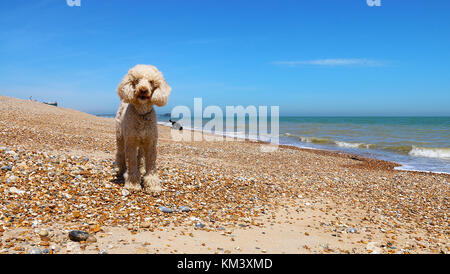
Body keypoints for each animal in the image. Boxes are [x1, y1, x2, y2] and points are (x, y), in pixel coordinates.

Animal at [115, 64, 171, 194]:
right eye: (137, 80)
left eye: (151, 81)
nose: (143, 90)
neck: (142, 113)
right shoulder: (130, 142)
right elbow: (131, 161)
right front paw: (132, 183)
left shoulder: (150, 143)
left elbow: (151, 165)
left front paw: (152, 185)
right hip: (120, 137)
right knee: (120, 154)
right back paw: (121, 169)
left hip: (141, 143)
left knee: (140, 157)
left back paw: (140, 169)